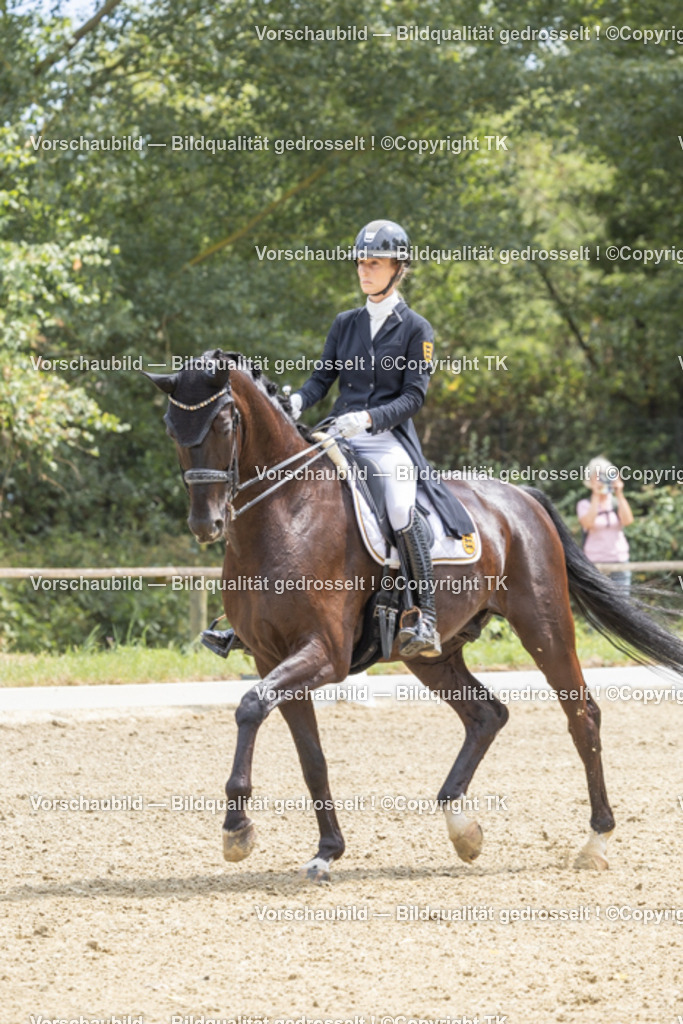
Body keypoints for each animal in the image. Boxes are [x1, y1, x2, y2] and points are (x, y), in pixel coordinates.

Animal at [146, 350, 683, 882]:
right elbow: (310, 756)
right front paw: (327, 850)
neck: (286, 512)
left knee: (581, 715)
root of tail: (521, 497)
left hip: (544, 627)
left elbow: (250, 706)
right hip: (432, 655)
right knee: (487, 714)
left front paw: (237, 830)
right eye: (171, 429)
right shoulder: (269, 655)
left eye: (223, 423)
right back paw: (463, 828)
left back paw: (595, 840)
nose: (206, 524)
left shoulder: (323, 654)